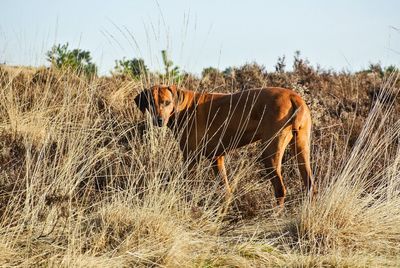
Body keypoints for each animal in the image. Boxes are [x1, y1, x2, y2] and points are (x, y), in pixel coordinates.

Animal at [134, 85, 316, 206]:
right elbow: (226, 190)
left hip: (270, 153)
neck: (183, 107)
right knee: (309, 183)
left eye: (166, 102)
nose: (159, 120)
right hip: (302, 148)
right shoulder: (217, 158)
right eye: (150, 103)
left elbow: (187, 186)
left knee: (279, 189)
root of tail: (294, 97)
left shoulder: (190, 158)